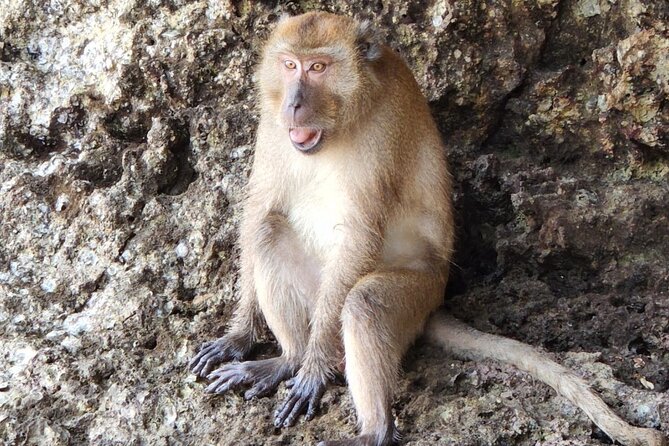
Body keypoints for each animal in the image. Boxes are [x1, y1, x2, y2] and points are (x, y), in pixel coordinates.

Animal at [190, 12, 667, 446]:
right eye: (290, 64)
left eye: (319, 67)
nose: (293, 103)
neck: (342, 121)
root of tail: (435, 303)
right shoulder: (272, 129)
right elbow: (260, 209)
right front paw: (240, 336)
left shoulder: (383, 135)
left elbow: (360, 235)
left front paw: (315, 367)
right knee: (269, 232)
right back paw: (288, 360)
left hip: (418, 294)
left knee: (363, 303)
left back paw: (371, 427)